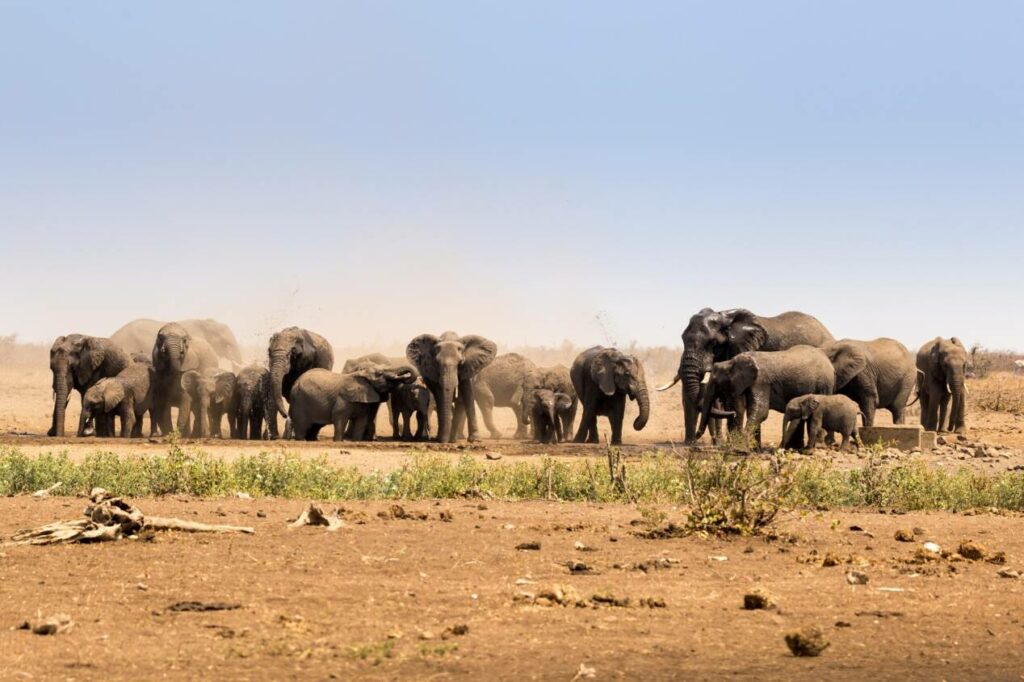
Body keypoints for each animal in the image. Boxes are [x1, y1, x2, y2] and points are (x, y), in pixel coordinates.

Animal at [692, 342, 835, 448]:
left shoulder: (761, 381)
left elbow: (761, 411)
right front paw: (755, 449)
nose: (695, 441)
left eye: (716, 382)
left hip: (825, 384)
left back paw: (817, 447)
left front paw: (740, 447)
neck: (731, 362)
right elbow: (753, 411)